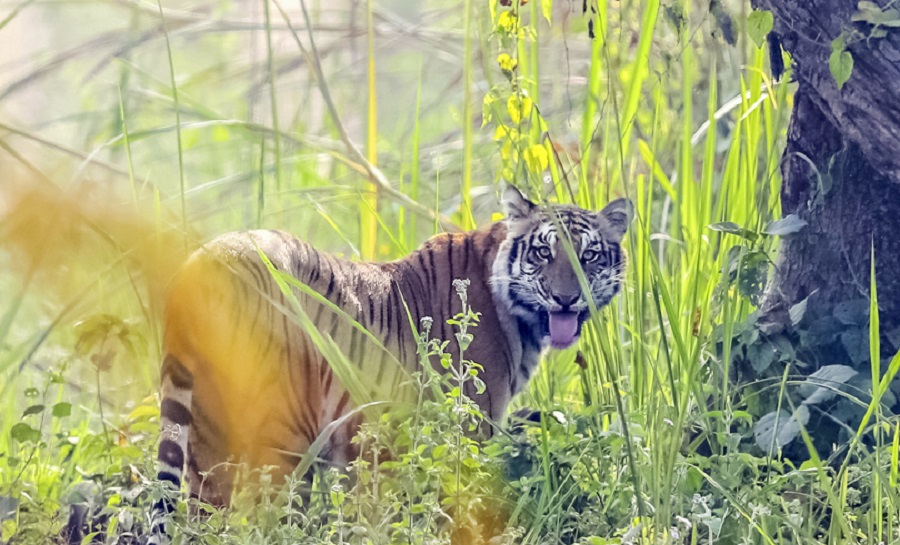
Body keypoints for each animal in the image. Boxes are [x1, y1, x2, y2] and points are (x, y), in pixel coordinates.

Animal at [148, 186, 632, 540]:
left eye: (589, 256)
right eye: (543, 253)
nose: (566, 298)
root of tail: (198, 264)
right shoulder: (468, 429)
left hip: (207, 434)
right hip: (278, 431)